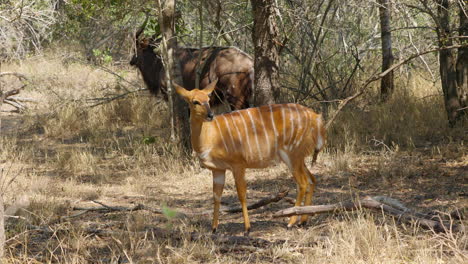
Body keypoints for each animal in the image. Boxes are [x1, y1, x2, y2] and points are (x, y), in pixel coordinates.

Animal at [176, 80, 326, 235]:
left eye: (208, 99)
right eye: (195, 101)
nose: (210, 115)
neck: (211, 137)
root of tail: (315, 117)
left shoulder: (238, 165)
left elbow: (241, 194)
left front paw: (247, 228)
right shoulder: (218, 170)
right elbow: (216, 196)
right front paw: (214, 228)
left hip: (292, 155)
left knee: (303, 183)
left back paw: (291, 222)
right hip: (298, 157)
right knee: (312, 179)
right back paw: (303, 221)